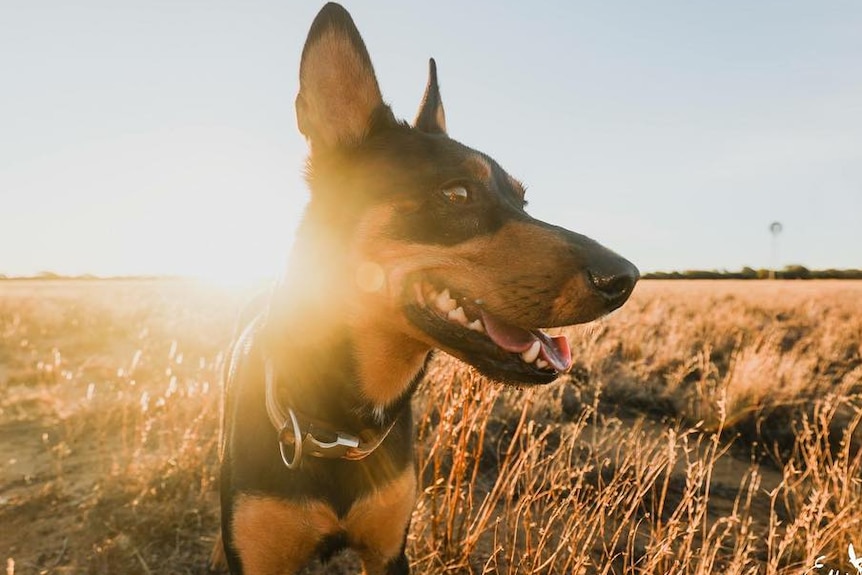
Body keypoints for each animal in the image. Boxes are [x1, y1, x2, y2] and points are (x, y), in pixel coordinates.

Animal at [213, 2, 636, 572]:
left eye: (523, 200)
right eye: (457, 193)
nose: (625, 278)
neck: (340, 424)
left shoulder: (390, 549)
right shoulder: (260, 557)